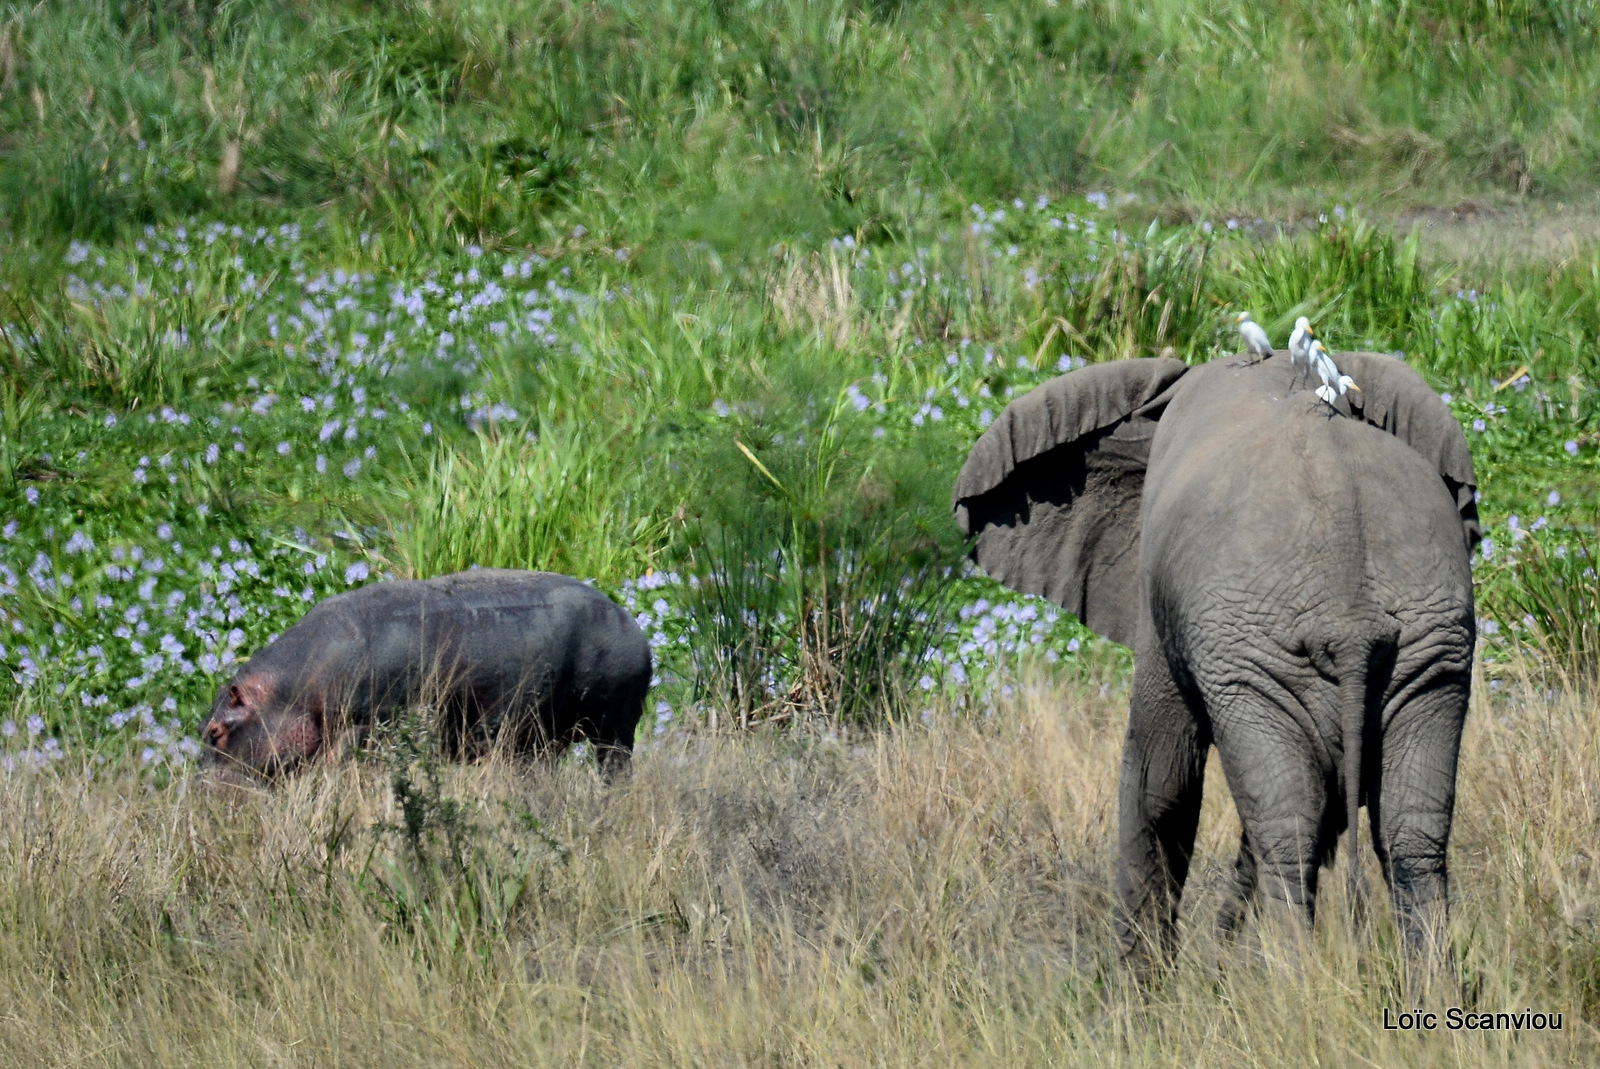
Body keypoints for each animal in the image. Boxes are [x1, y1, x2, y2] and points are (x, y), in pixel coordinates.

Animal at [200, 566, 649, 784]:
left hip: (614, 728)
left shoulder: (364, 728)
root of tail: (630, 619)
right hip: (542, 740)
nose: (202, 790)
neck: (290, 691)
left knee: (615, 767)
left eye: (214, 733)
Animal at [953, 350, 1478, 979]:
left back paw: (1291, 987)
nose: (1218, 951)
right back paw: (1426, 993)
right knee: (1408, 834)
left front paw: (1136, 994)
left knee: (1287, 828)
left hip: (1262, 658)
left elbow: (1159, 777)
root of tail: (1353, 622)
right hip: (1428, 652)